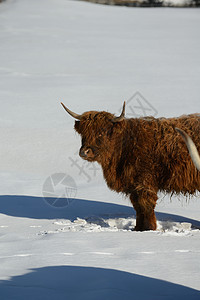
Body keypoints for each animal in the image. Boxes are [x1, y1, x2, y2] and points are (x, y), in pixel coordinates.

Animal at [61, 103, 200, 232]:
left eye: (102, 132)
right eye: (83, 133)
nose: (84, 152)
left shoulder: (144, 183)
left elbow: (146, 206)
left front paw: (149, 229)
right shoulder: (134, 186)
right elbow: (138, 207)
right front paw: (138, 228)